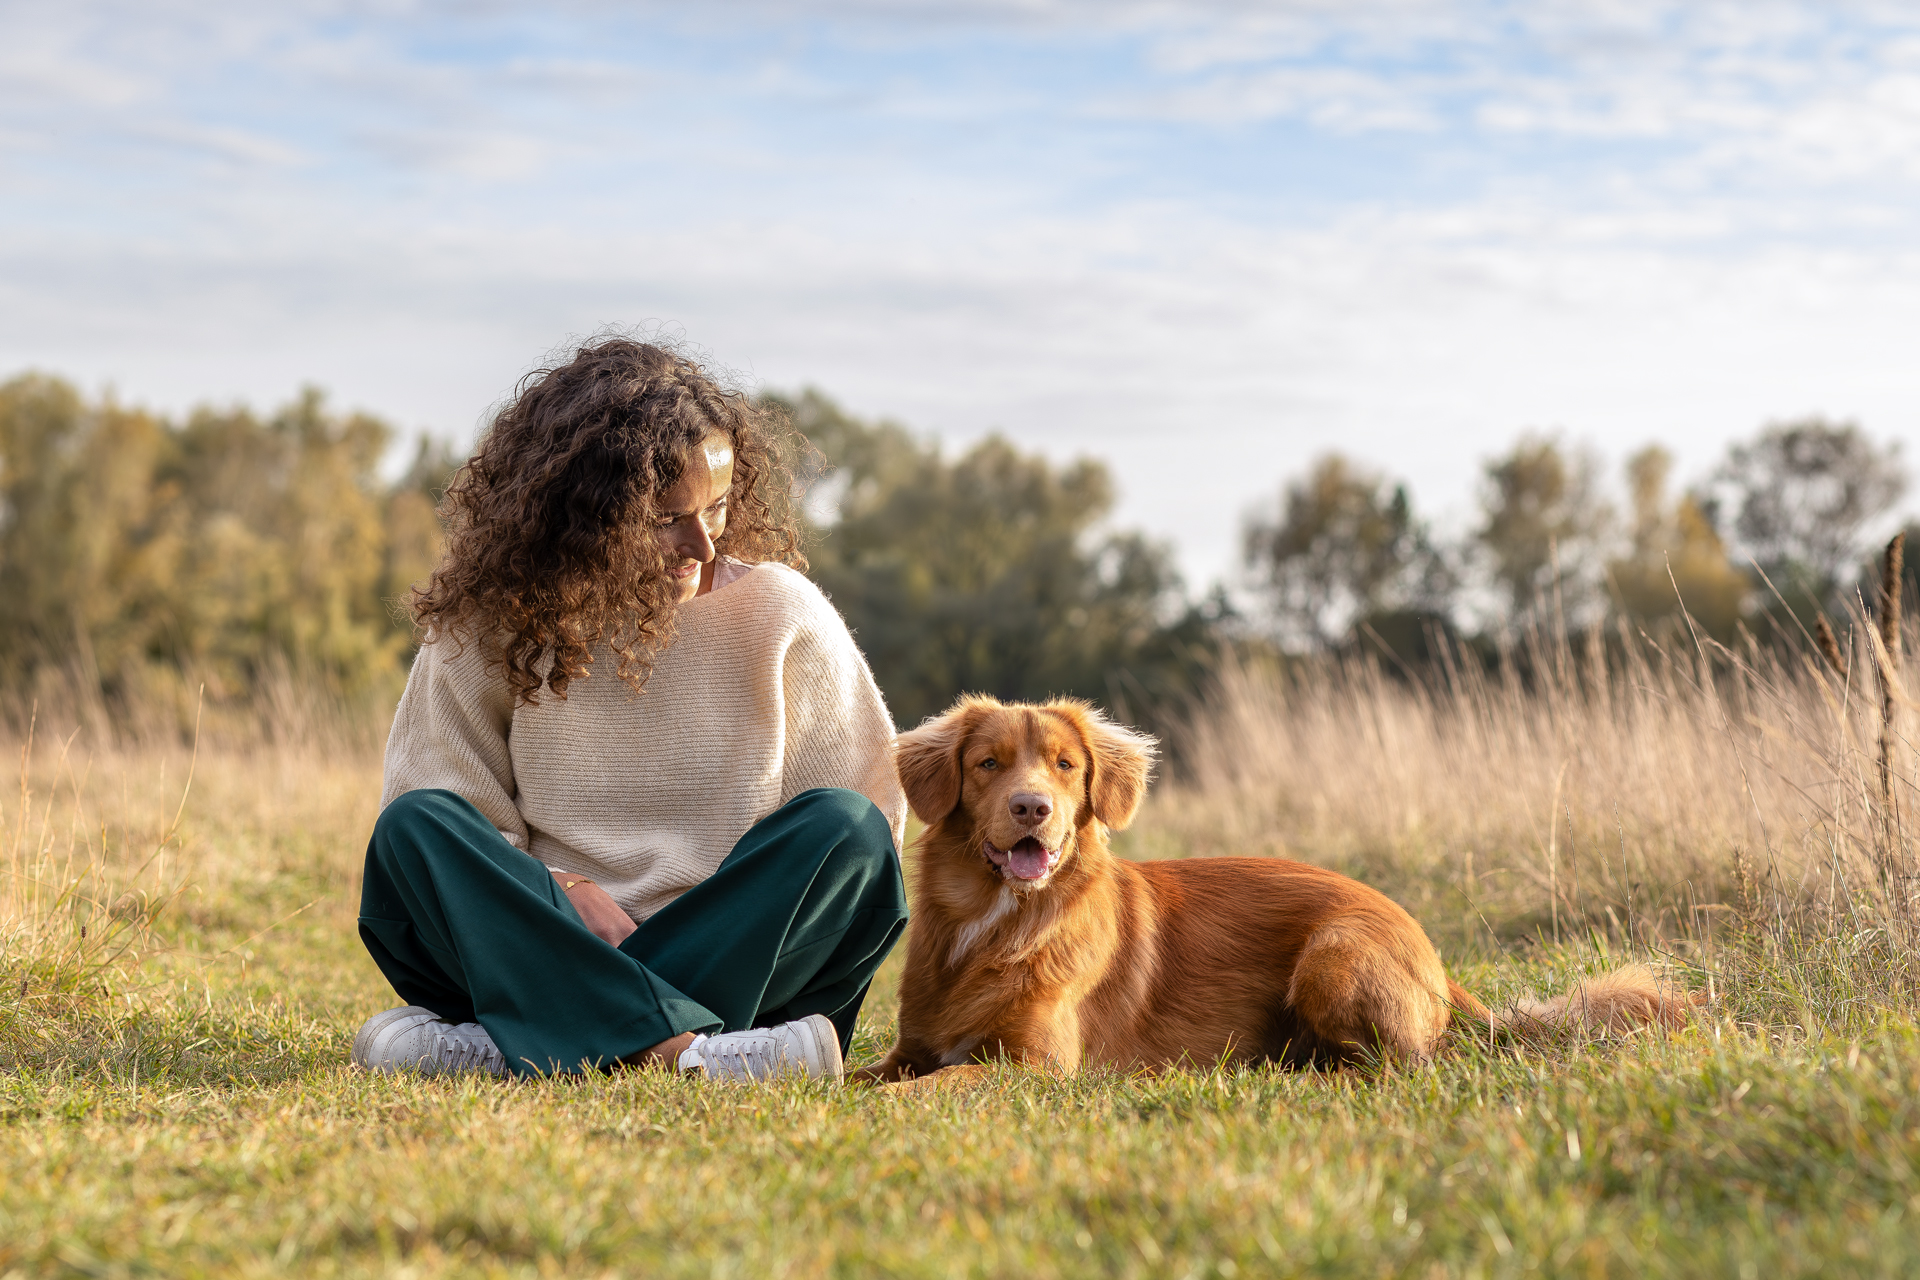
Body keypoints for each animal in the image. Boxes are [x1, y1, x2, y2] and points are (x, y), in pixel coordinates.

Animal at [864, 690, 1689, 1082]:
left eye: (1065, 766)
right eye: (988, 765)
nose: (1031, 808)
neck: (997, 922)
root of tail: (1433, 956)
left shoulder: (1033, 1071)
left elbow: (920, 1093)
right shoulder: (913, 1048)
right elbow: (872, 1079)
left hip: (1335, 955)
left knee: (1404, 1067)